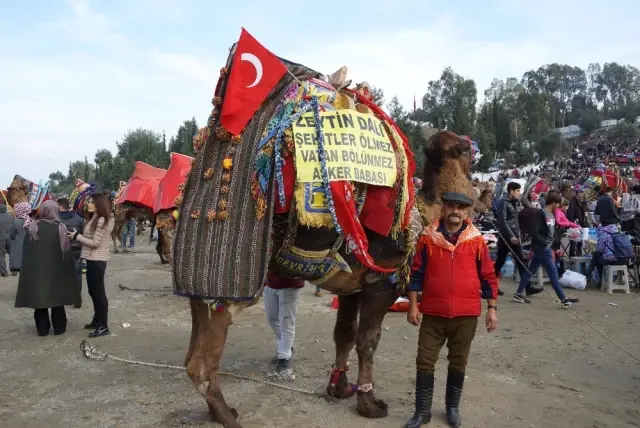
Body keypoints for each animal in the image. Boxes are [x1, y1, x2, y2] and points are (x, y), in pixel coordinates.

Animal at [170, 28, 480, 426]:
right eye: (462, 149)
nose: (474, 148)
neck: (418, 214)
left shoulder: (351, 286)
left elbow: (343, 334)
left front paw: (339, 388)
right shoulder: (382, 280)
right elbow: (368, 340)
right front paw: (369, 403)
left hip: (196, 291)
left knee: (193, 351)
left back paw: (221, 410)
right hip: (225, 288)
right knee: (200, 362)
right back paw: (228, 416)